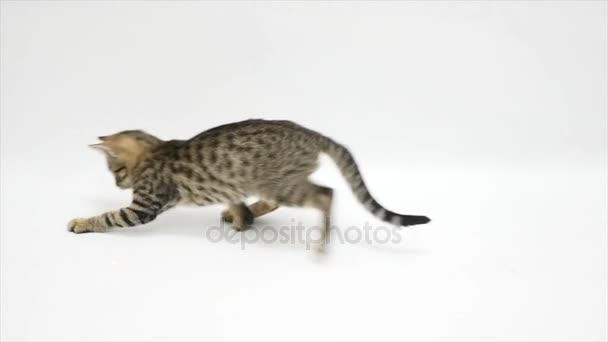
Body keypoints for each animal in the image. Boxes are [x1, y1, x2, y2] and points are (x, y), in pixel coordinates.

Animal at [69, 119, 430, 250]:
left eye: (116, 171)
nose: (118, 184)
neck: (156, 149)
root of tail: (309, 132)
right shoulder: (227, 185)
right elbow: (236, 202)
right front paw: (242, 218)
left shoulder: (144, 205)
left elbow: (110, 216)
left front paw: (82, 222)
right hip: (276, 181)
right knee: (277, 200)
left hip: (284, 184)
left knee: (327, 195)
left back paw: (322, 242)